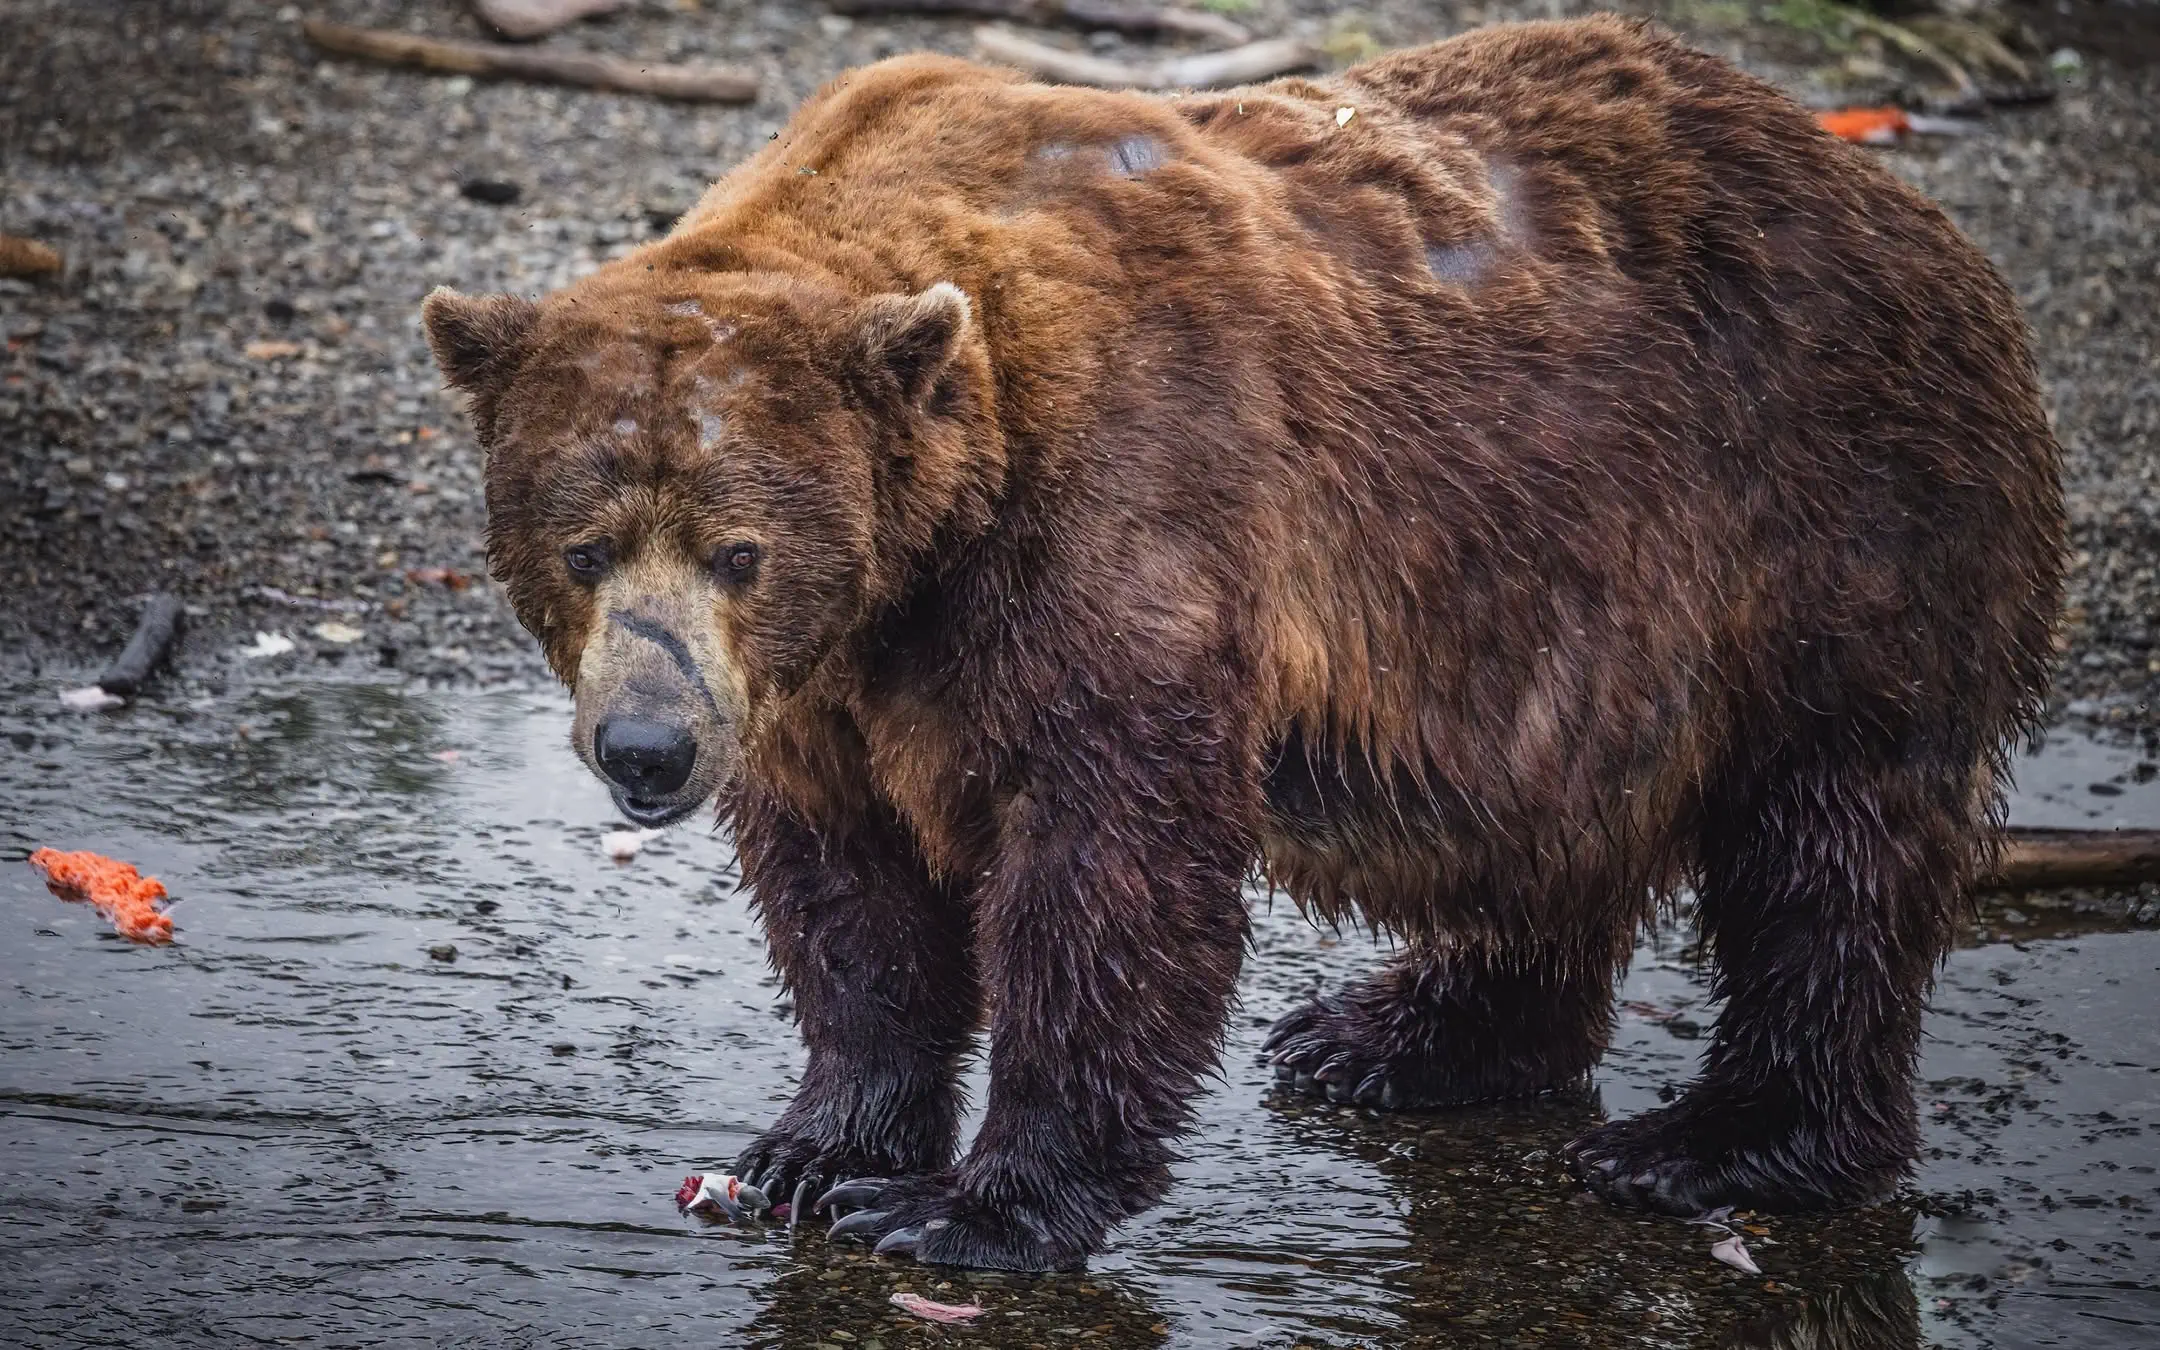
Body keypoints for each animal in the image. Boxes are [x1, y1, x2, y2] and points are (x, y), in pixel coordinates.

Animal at [422, 15, 2063, 1271]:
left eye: (738, 550)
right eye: (582, 547)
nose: (648, 749)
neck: (929, 540)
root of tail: (1896, 200)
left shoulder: (1118, 512)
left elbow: (1107, 857)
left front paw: (970, 1206)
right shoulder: (828, 686)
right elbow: (849, 891)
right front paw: (814, 1150)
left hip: (1821, 518)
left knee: (1827, 842)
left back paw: (1718, 1139)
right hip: (1564, 611)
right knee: (1550, 820)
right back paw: (1401, 1037)